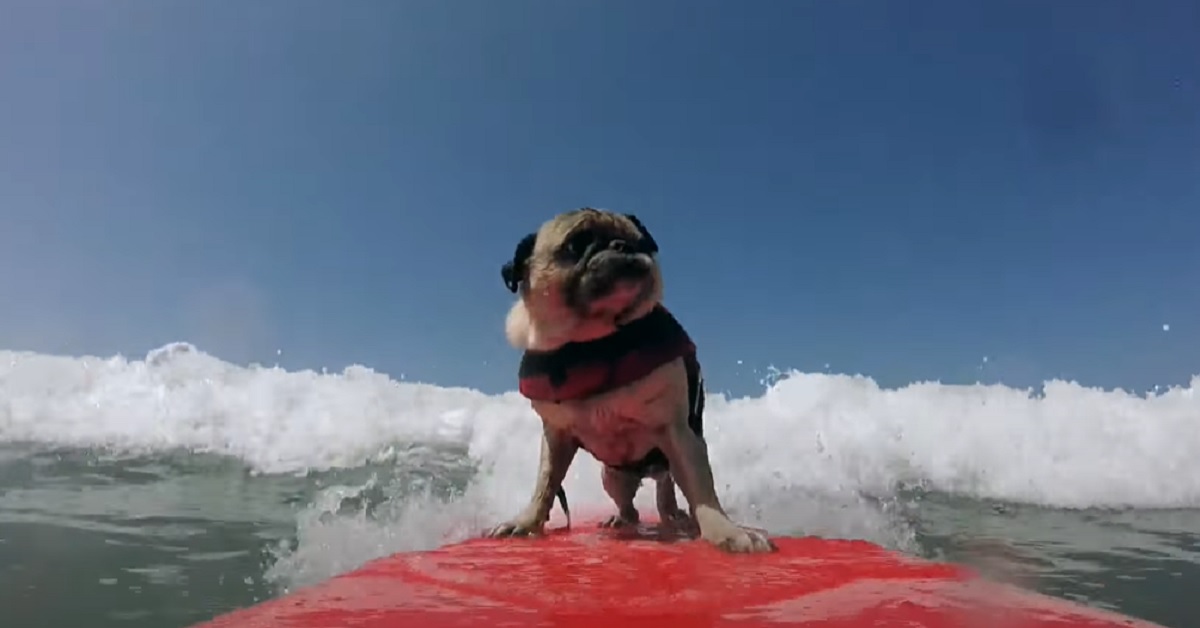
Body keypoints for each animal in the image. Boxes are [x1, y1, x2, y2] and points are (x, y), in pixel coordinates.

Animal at [487, 208, 777, 552]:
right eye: (576, 244)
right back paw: (622, 519)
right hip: (612, 477)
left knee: (670, 491)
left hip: (674, 457)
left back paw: (680, 517)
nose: (621, 245)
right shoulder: (556, 436)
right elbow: (545, 485)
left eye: (641, 242)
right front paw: (527, 522)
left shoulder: (678, 431)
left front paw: (726, 531)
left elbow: (702, 490)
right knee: (631, 508)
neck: (594, 343)